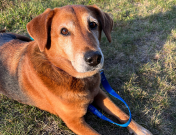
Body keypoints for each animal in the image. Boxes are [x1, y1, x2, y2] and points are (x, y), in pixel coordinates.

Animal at [0, 5, 152, 135]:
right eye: (64, 31)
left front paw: (140, 129)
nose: (94, 58)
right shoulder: (74, 122)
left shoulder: (99, 93)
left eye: (93, 24)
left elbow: (121, 112)